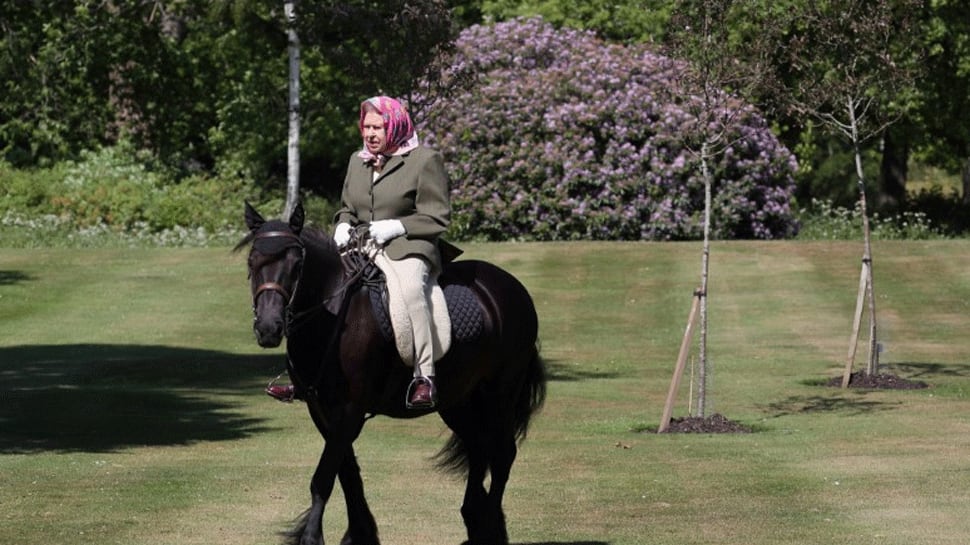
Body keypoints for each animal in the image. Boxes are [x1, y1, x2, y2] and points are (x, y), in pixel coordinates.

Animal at [236, 203, 544, 544]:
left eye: (297, 264)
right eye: (252, 261)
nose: (269, 328)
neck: (333, 314)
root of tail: (511, 288)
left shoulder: (350, 409)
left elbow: (324, 477)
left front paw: (312, 537)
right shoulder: (322, 410)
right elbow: (347, 474)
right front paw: (360, 534)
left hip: (500, 394)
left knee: (502, 454)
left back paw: (488, 526)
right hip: (459, 400)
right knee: (479, 447)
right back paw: (474, 522)